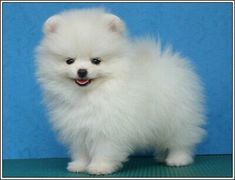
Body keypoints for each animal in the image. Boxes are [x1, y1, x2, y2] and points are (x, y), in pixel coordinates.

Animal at [35, 8, 206, 174]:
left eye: (96, 61)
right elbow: (81, 151)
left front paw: (100, 167)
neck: (90, 95)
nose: (82, 71)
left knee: (181, 141)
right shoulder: (78, 129)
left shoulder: (109, 128)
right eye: (69, 61)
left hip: (178, 119)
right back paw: (161, 157)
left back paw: (178, 159)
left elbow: (104, 149)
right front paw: (79, 165)